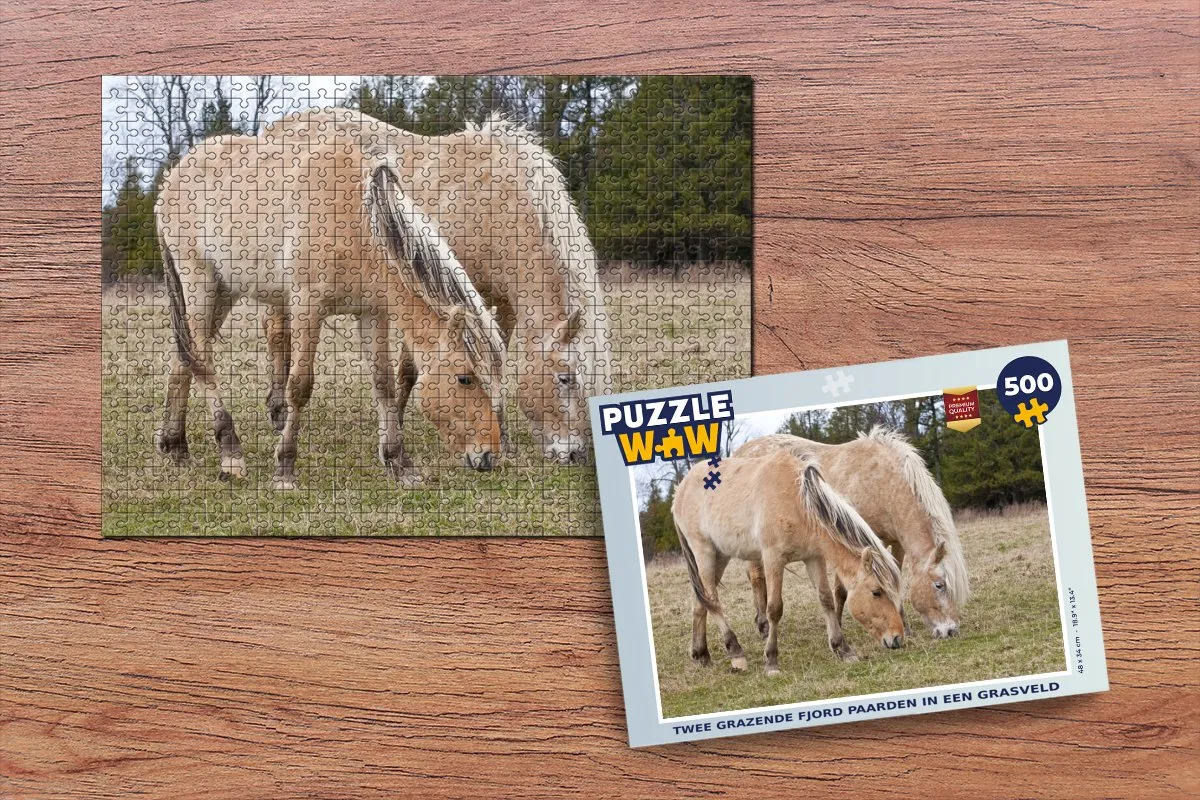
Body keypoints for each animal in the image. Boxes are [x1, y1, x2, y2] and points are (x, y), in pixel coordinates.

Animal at [153, 132, 505, 488]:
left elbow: (384, 384)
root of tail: (172, 178)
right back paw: (230, 454)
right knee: (203, 362)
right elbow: (300, 386)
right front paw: (284, 470)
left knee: (185, 359)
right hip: (200, 285)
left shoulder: (373, 315)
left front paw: (400, 464)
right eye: (464, 378)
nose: (487, 456)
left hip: (224, 292)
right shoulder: (307, 307)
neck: (358, 224)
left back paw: (176, 446)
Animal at [262, 108, 612, 464]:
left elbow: (492, 361)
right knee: (276, 332)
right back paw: (278, 410)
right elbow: (409, 369)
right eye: (565, 378)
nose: (575, 454)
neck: (490, 204)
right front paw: (398, 426)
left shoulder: (498, 305)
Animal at [672, 450, 905, 675]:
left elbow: (826, 600)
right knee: (712, 599)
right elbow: (774, 609)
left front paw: (843, 650)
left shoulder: (814, 558)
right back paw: (736, 653)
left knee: (699, 601)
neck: (797, 503)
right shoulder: (773, 559)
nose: (897, 639)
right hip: (704, 551)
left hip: (720, 555)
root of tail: (679, 491)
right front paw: (771, 661)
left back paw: (701, 654)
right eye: (876, 592)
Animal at [735, 428, 969, 638]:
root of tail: (740, 452)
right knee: (756, 577)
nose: (950, 631)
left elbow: (895, 580)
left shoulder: (897, 543)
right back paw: (764, 626)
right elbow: (841, 590)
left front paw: (905, 625)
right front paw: (838, 625)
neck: (882, 483)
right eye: (939, 585)